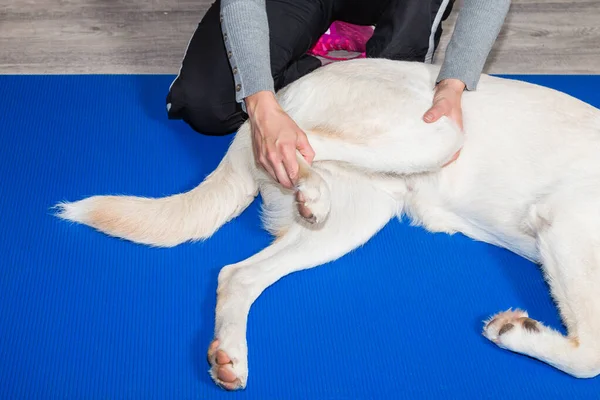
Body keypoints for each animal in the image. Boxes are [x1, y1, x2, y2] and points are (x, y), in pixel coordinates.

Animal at [52, 57, 600, 390]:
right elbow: (589, 355)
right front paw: (514, 331)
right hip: (436, 132)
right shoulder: (567, 223)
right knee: (299, 141)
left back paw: (230, 355)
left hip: (354, 217)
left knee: (237, 274)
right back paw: (309, 186)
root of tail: (280, 92)